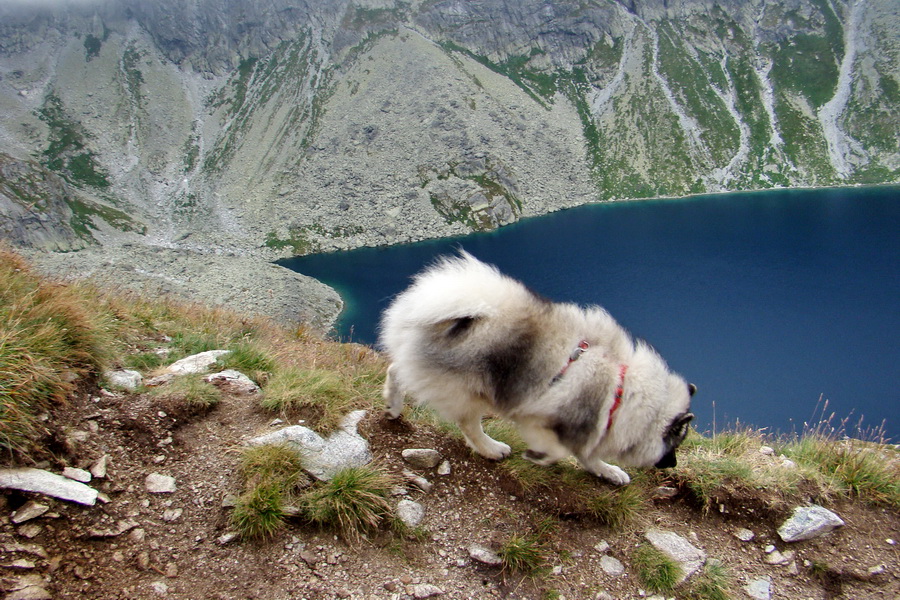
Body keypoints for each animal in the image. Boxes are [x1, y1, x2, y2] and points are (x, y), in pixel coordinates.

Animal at [380, 251, 696, 486]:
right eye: (675, 444)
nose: (672, 464)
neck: (620, 390)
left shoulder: (584, 430)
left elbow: (588, 454)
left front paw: (607, 470)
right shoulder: (539, 419)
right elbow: (558, 450)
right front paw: (538, 456)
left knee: (396, 370)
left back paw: (393, 406)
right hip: (468, 392)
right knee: (469, 425)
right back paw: (491, 448)